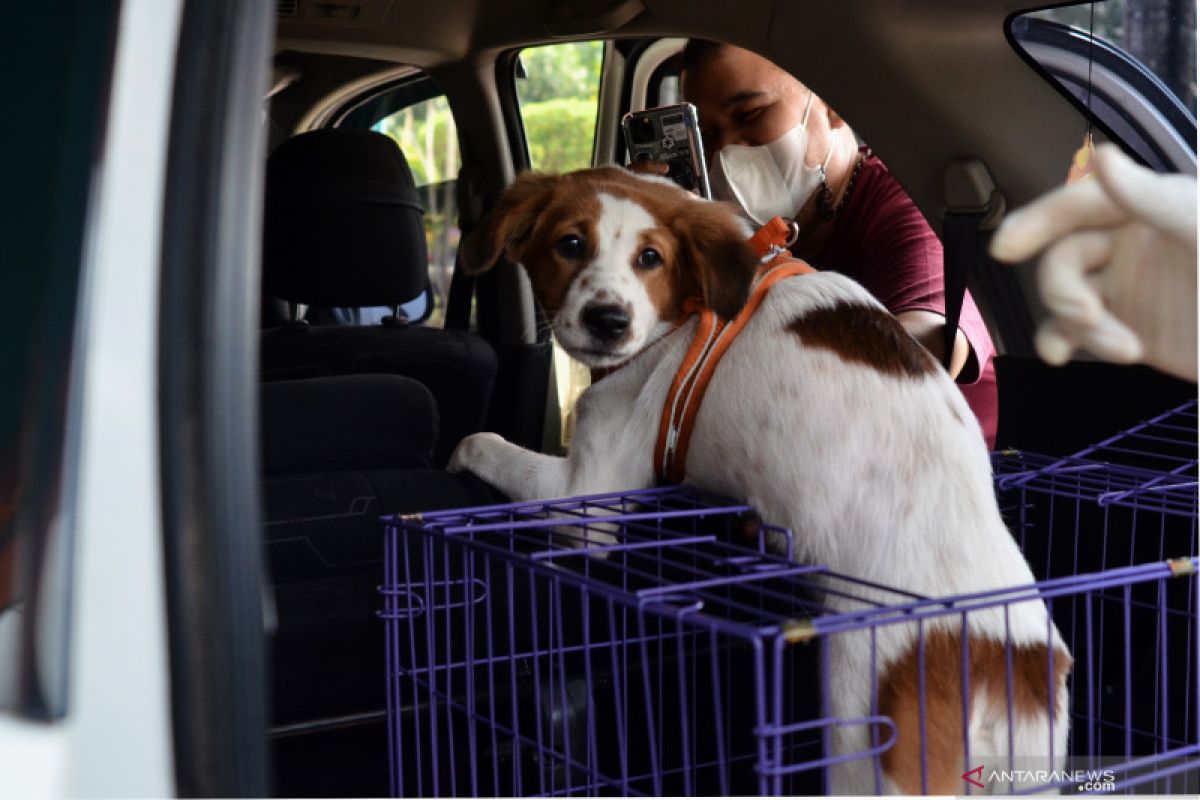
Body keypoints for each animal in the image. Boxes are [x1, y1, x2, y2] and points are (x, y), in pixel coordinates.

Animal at [451, 167, 1070, 796]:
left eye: (651, 257)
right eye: (570, 244)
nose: (609, 322)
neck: (693, 305)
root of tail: (1003, 661)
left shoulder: (585, 492)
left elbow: (482, 444)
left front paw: (459, 451)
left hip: (861, 743)